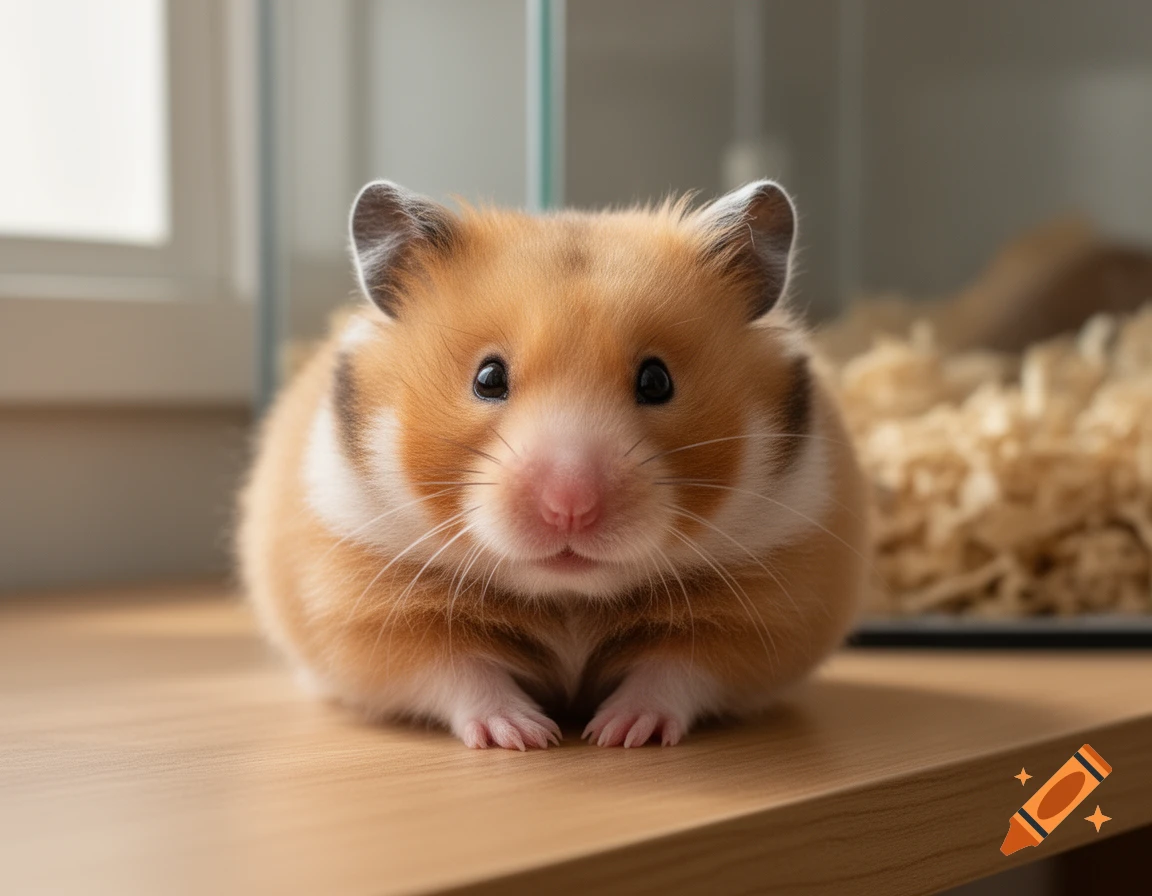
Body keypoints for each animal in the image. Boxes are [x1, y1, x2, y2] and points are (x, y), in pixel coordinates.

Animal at [238, 179, 869, 749]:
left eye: (657, 380)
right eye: (488, 378)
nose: (571, 508)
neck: (569, 598)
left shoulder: (764, 611)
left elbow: (675, 670)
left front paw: (617, 733)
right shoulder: (370, 611)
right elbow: (459, 670)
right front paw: (524, 736)